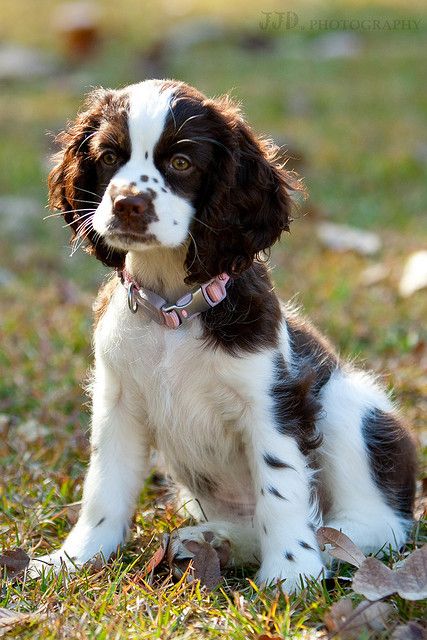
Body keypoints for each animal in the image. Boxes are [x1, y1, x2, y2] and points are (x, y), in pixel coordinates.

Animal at [30, 81, 418, 596]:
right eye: (110, 156)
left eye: (181, 163)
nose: (128, 204)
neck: (173, 311)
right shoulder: (118, 403)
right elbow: (104, 489)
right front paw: (72, 560)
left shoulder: (271, 402)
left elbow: (280, 488)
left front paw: (291, 574)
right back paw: (215, 539)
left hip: (345, 404)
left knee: (378, 524)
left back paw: (323, 544)